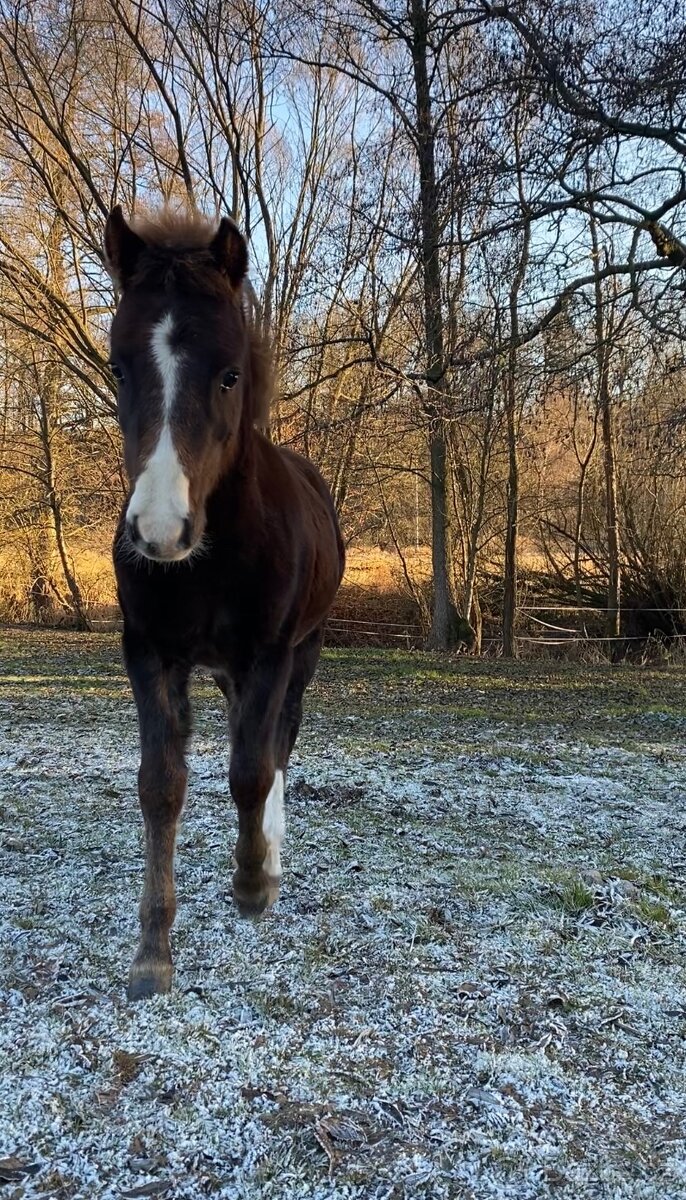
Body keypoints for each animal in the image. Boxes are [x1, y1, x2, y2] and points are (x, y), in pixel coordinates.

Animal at [104, 207, 345, 1000]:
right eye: (119, 367)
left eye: (229, 373)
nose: (158, 531)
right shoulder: (150, 653)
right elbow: (160, 785)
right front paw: (152, 952)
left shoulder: (269, 653)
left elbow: (250, 771)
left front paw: (252, 884)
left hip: (303, 654)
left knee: (277, 746)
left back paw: (271, 857)